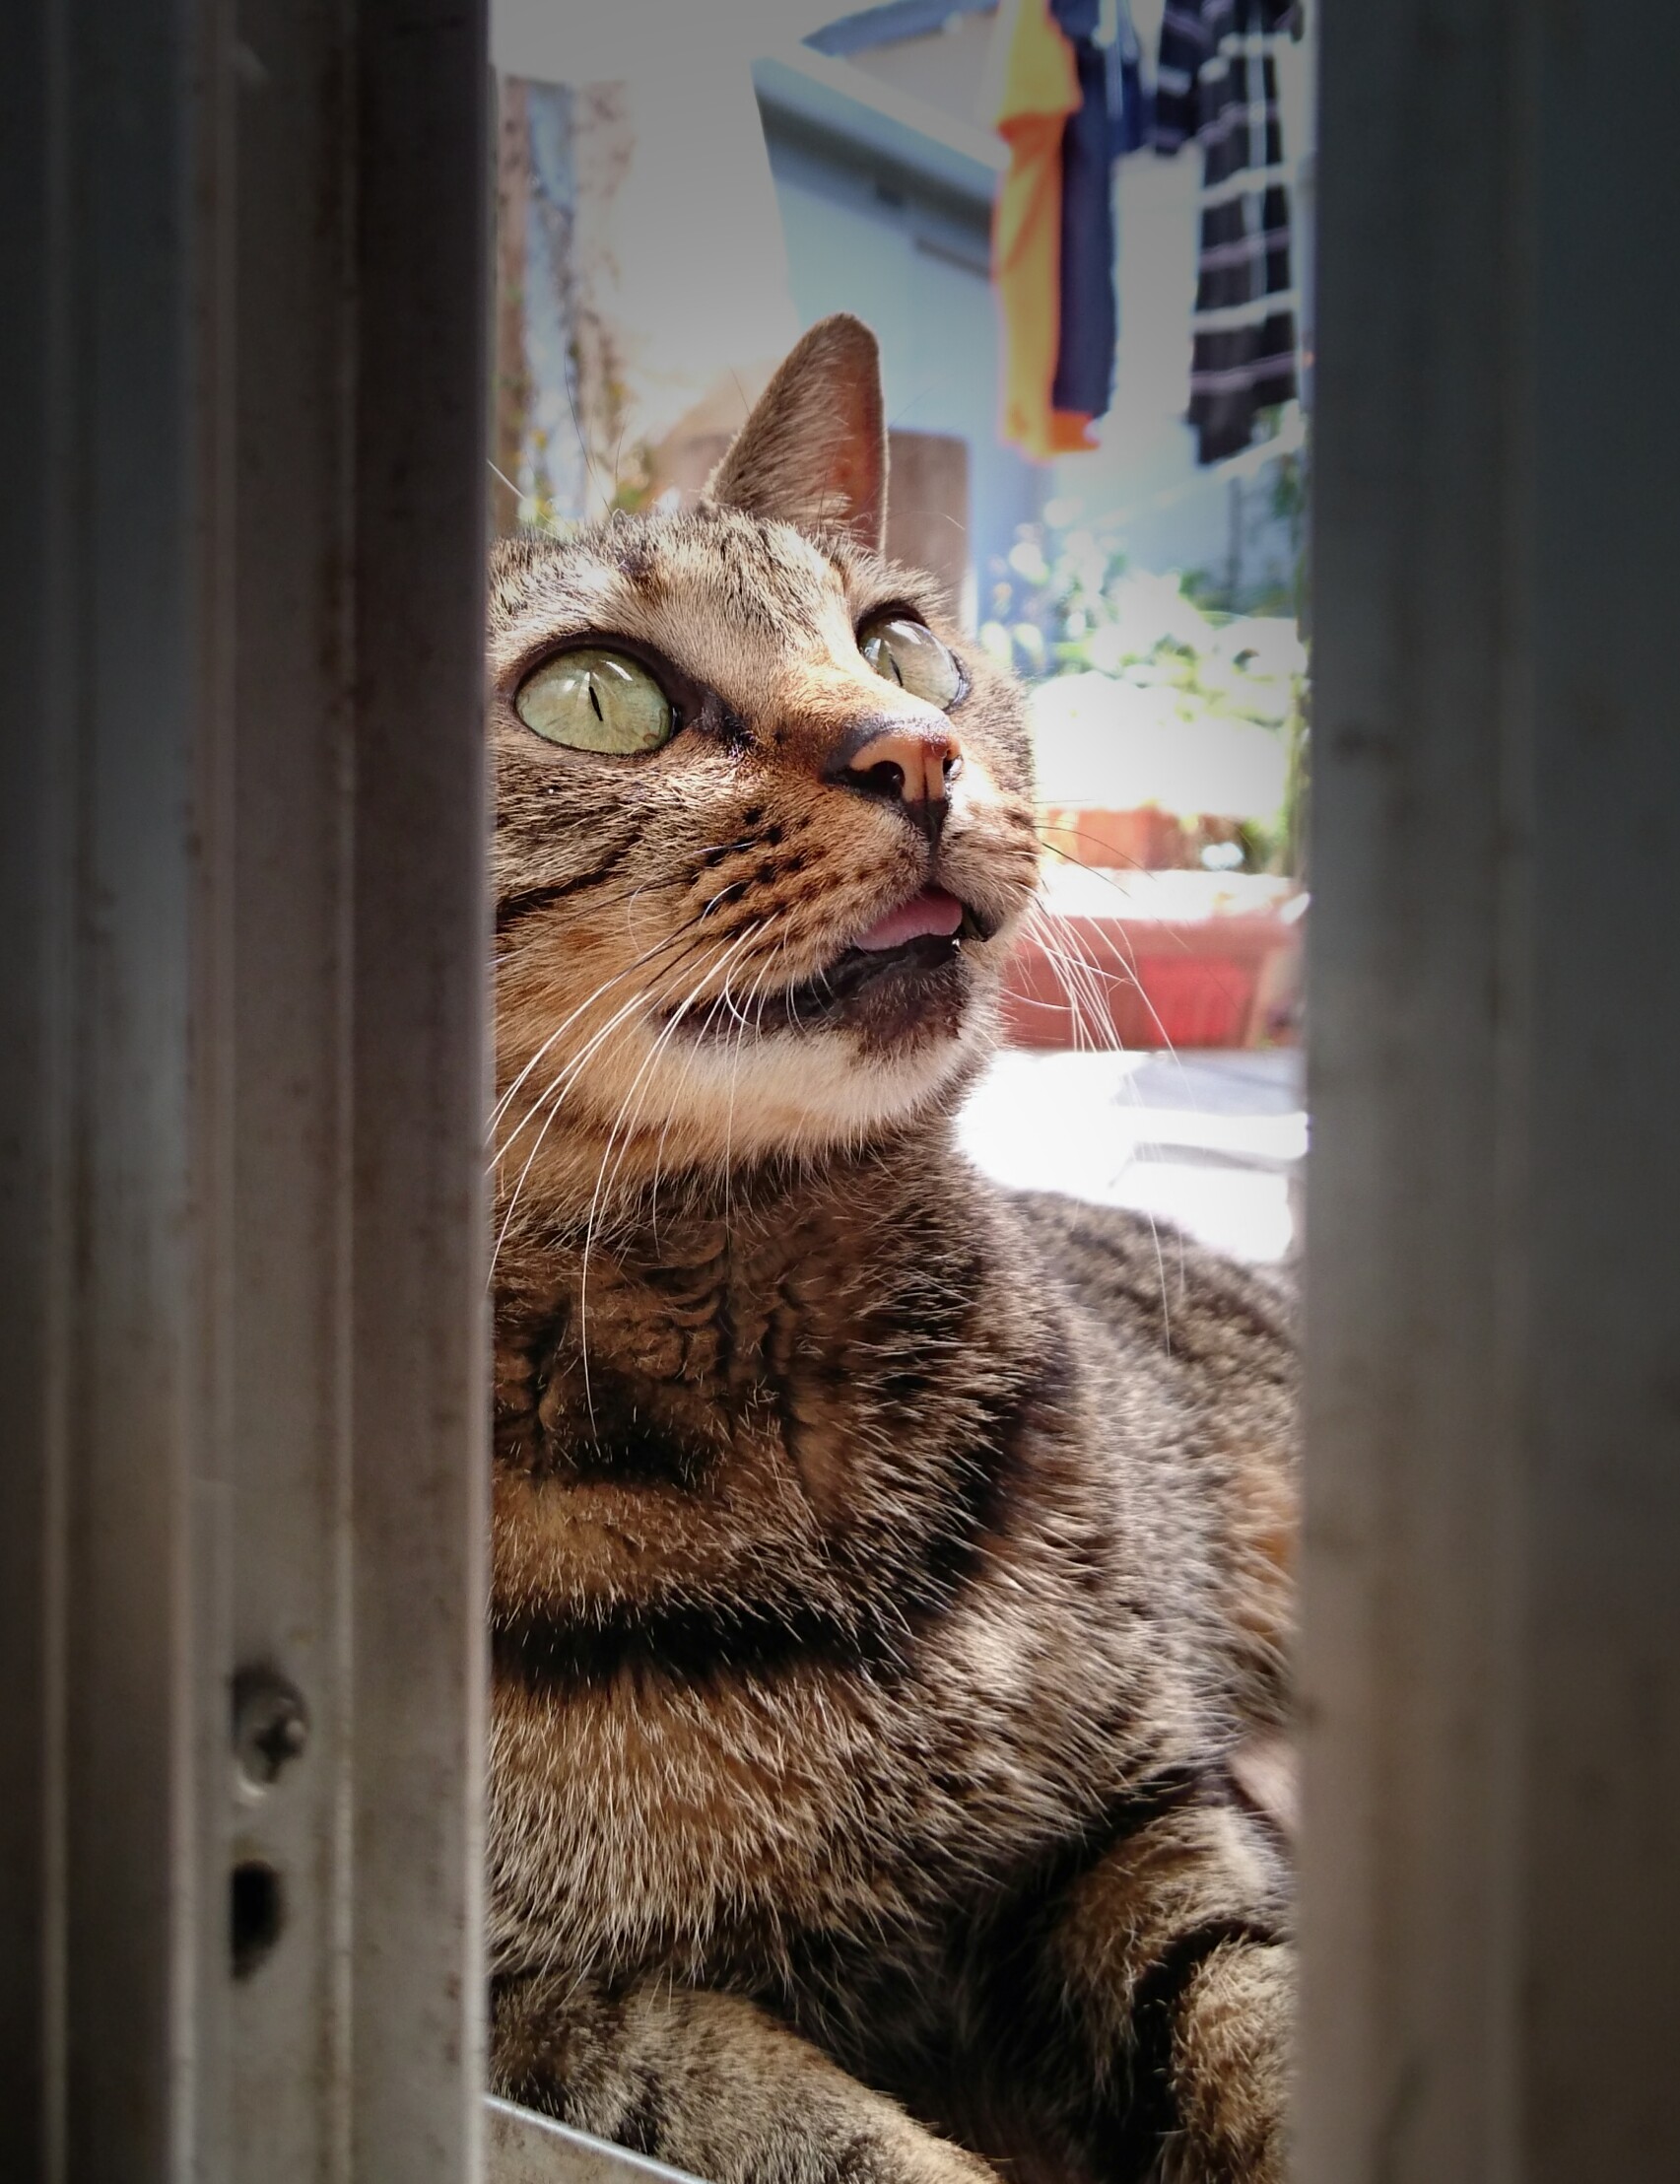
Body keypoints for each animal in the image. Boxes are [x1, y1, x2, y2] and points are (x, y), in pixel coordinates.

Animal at [486, 315, 1298, 2184]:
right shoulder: (515, 2022)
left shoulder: (1145, 1811)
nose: (919, 751)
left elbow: (1261, 2009)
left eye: (902, 645)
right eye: (590, 693)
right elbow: (781, 2124)